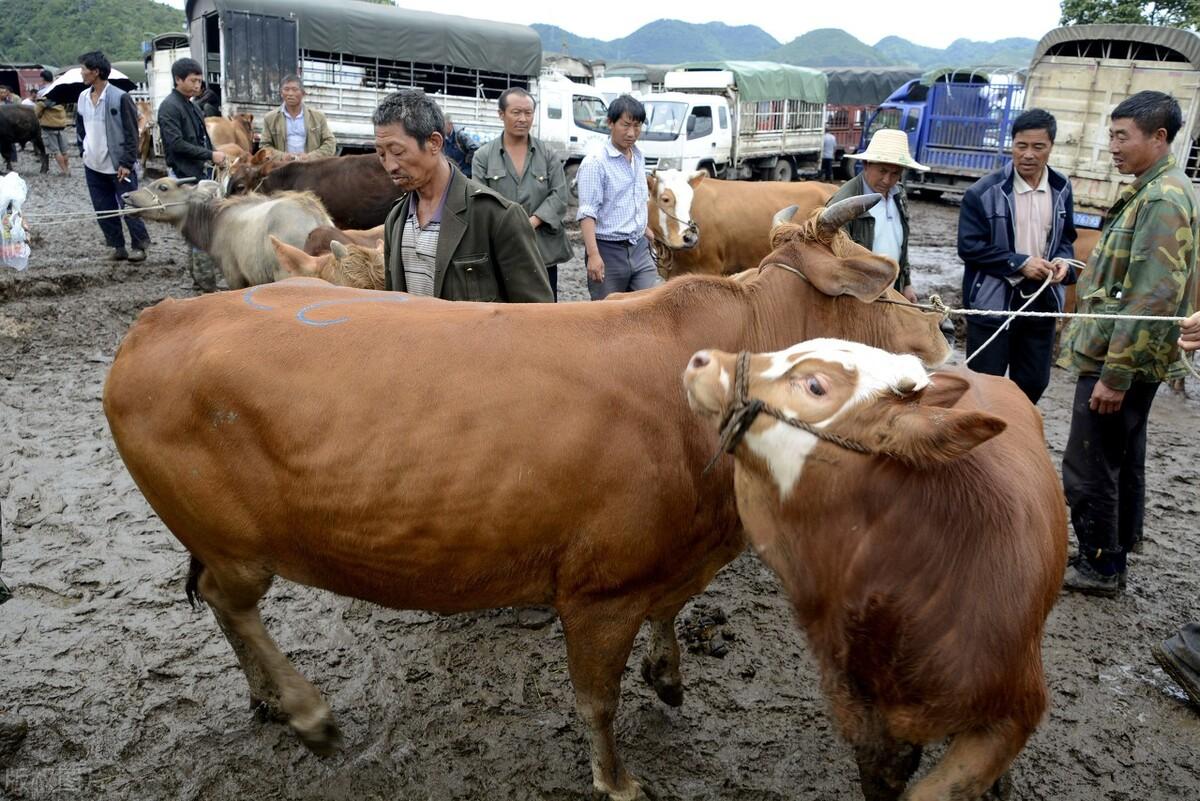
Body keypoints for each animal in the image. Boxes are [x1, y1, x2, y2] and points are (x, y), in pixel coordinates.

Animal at [103, 195, 945, 801]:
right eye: (890, 283)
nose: (941, 340)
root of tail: (161, 318)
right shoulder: (600, 590)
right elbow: (596, 699)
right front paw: (617, 778)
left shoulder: (665, 556)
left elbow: (669, 614)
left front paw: (668, 673)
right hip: (234, 541)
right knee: (232, 602)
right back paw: (308, 711)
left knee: (221, 606)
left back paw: (269, 697)